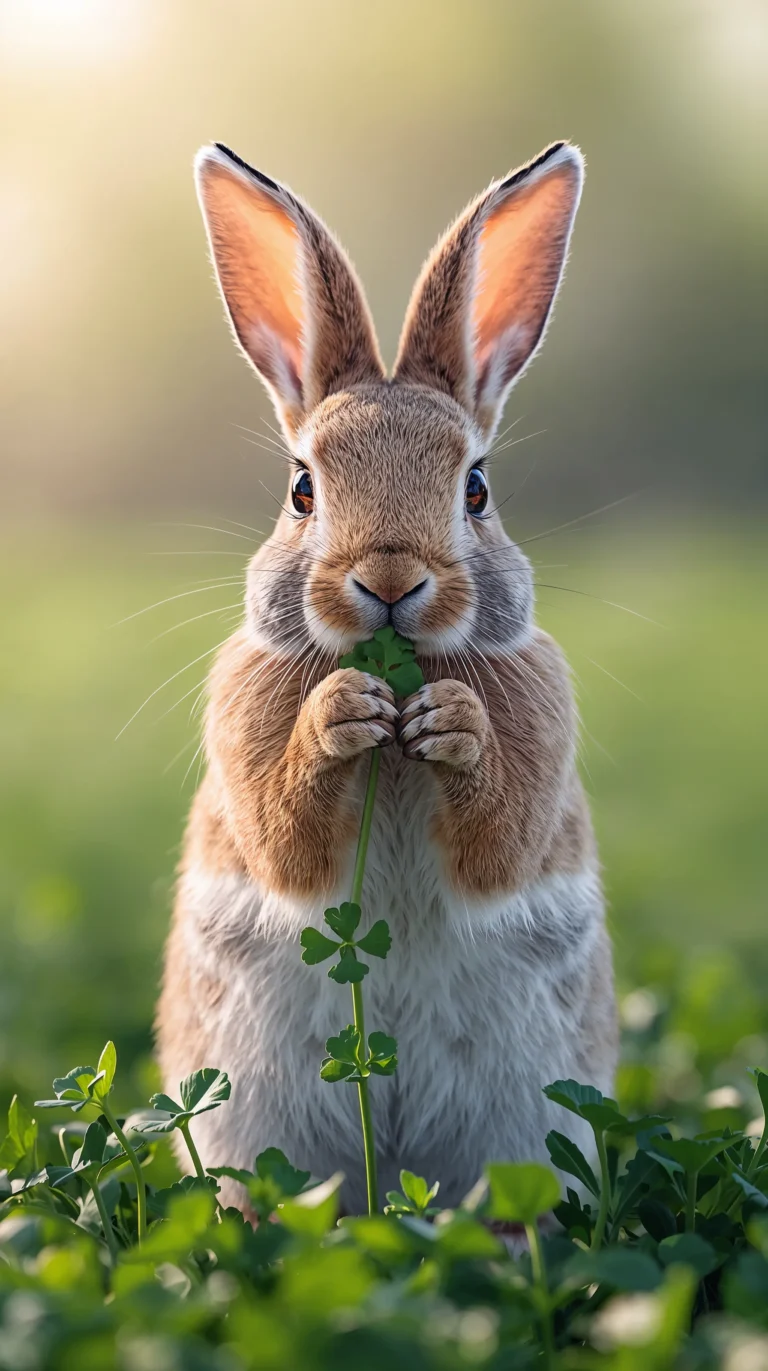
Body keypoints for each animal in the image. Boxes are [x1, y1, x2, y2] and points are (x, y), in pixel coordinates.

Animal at [156, 139, 618, 1215]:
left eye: (477, 488)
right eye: (301, 488)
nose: (392, 579)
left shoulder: (539, 753)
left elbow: (497, 843)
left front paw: (453, 722)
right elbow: (287, 842)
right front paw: (340, 714)